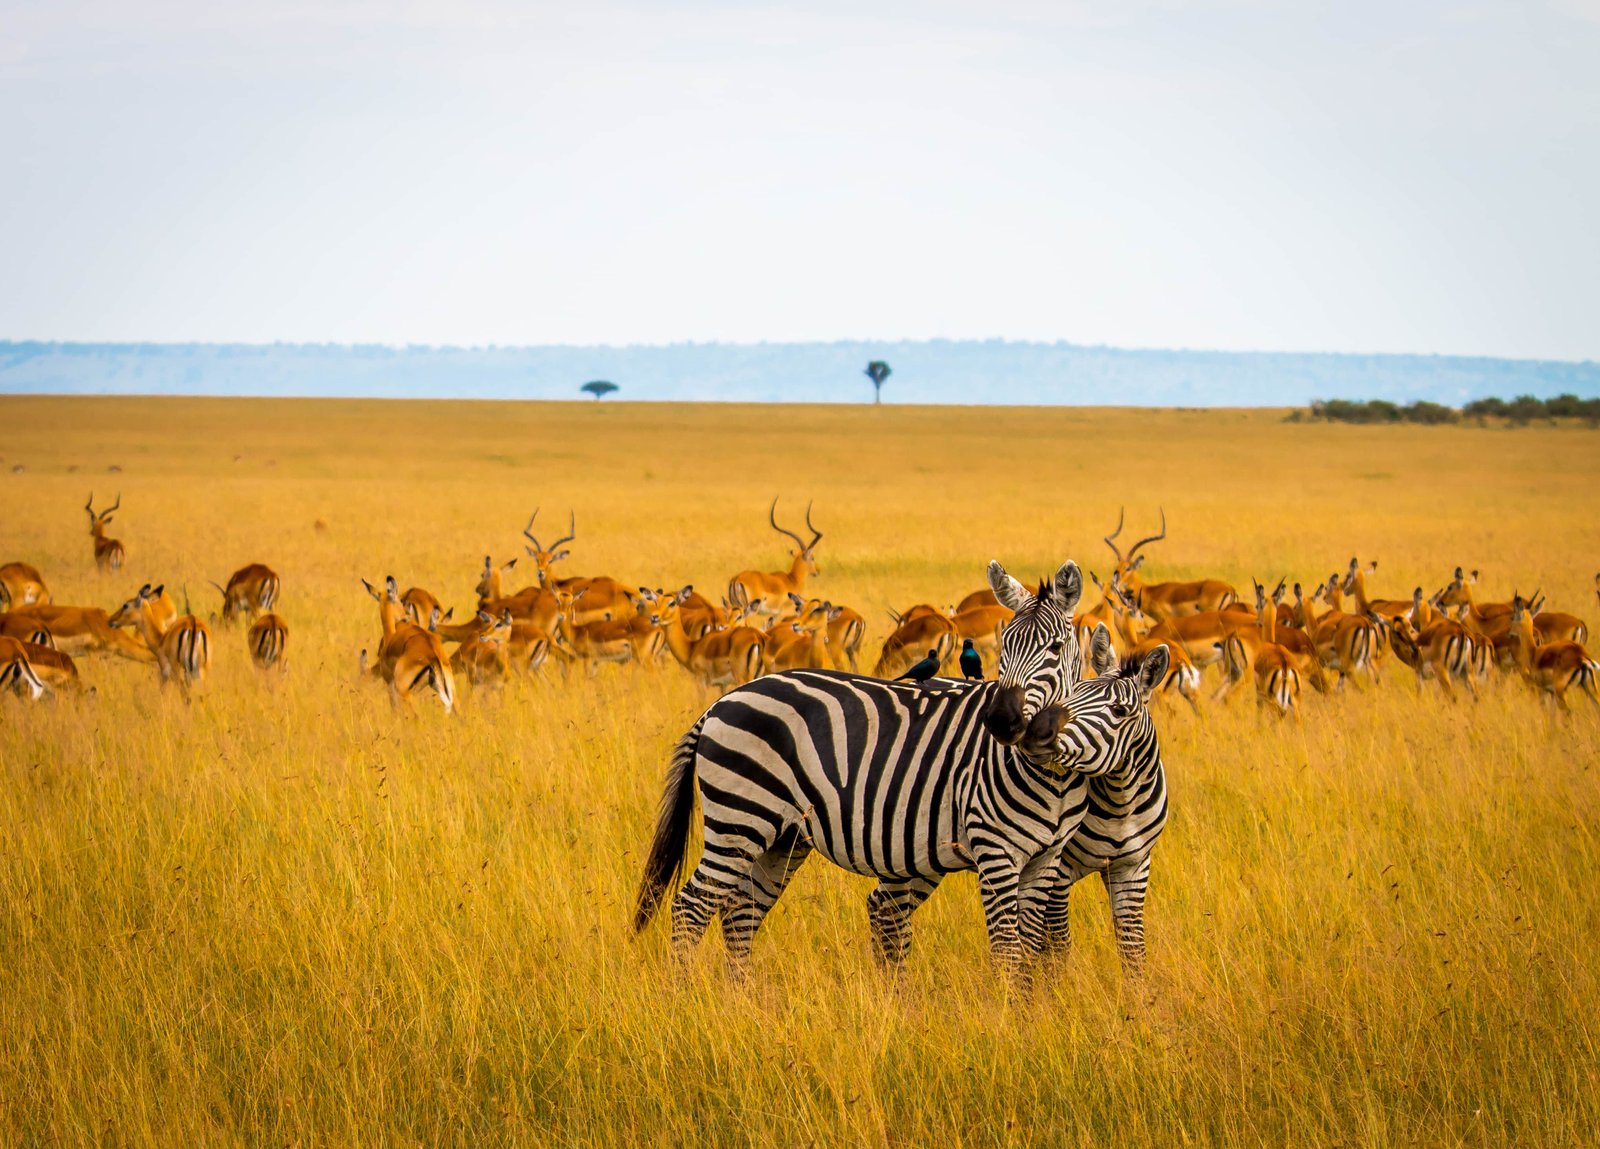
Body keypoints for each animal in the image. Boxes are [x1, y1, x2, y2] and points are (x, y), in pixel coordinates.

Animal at [633, 563, 1088, 979]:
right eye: (1005, 643)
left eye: (1056, 648)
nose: (1000, 720)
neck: (1051, 780)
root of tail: (720, 703)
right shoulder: (995, 850)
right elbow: (1008, 949)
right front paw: (1008, 1011)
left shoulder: (1046, 858)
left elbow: (1031, 944)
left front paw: (1033, 1007)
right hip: (740, 817)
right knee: (693, 905)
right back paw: (685, 992)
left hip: (784, 836)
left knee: (740, 910)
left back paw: (741, 999)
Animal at [1024, 624, 1177, 979]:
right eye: (1073, 695)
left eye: (1119, 711)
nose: (1035, 733)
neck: (1122, 803)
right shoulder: (1059, 869)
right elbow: (1057, 947)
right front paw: (1054, 990)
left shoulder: (1133, 868)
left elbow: (1133, 950)